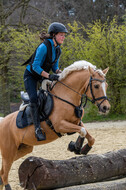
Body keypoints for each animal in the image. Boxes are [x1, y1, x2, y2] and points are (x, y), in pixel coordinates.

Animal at [0, 61, 110, 190]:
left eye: (106, 85)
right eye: (96, 86)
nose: (106, 108)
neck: (67, 96)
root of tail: (3, 121)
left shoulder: (76, 122)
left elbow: (89, 136)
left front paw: (80, 148)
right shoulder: (60, 125)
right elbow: (82, 130)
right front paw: (76, 146)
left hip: (23, 149)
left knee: (2, 172)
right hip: (9, 151)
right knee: (4, 174)